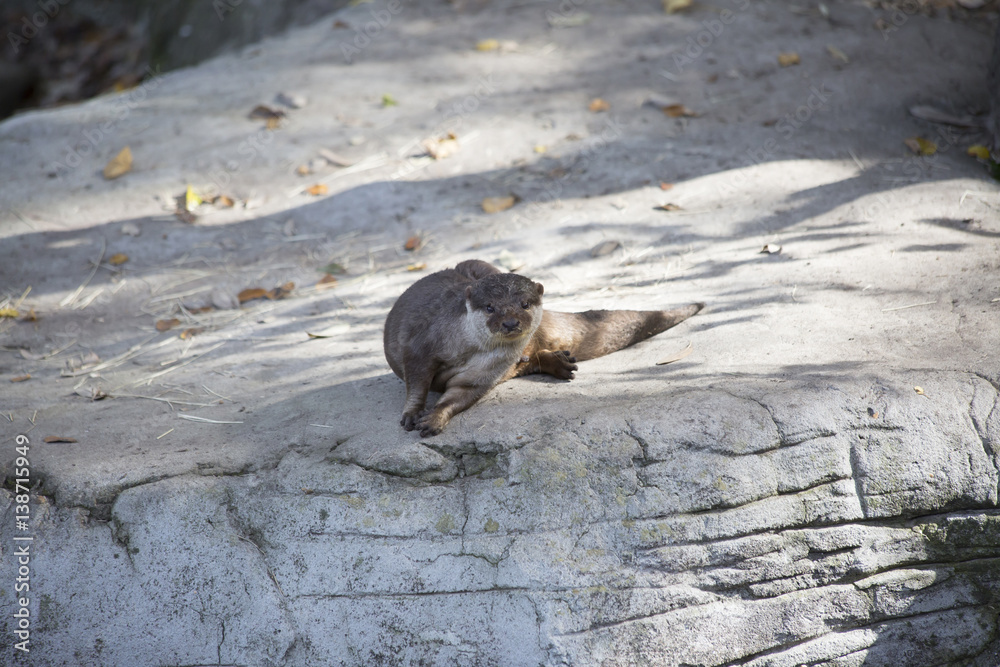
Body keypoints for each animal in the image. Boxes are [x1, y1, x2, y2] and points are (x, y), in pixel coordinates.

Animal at [383, 259, 703, 437]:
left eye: (524, 304)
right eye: (490, 307)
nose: (510, 322)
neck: (470, 350)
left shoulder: (484, 373)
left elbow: (458, 395)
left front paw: (435, 418)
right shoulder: (423, 345)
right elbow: (417, 381)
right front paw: (413, 414)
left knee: (529, 357)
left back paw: (560, 363)